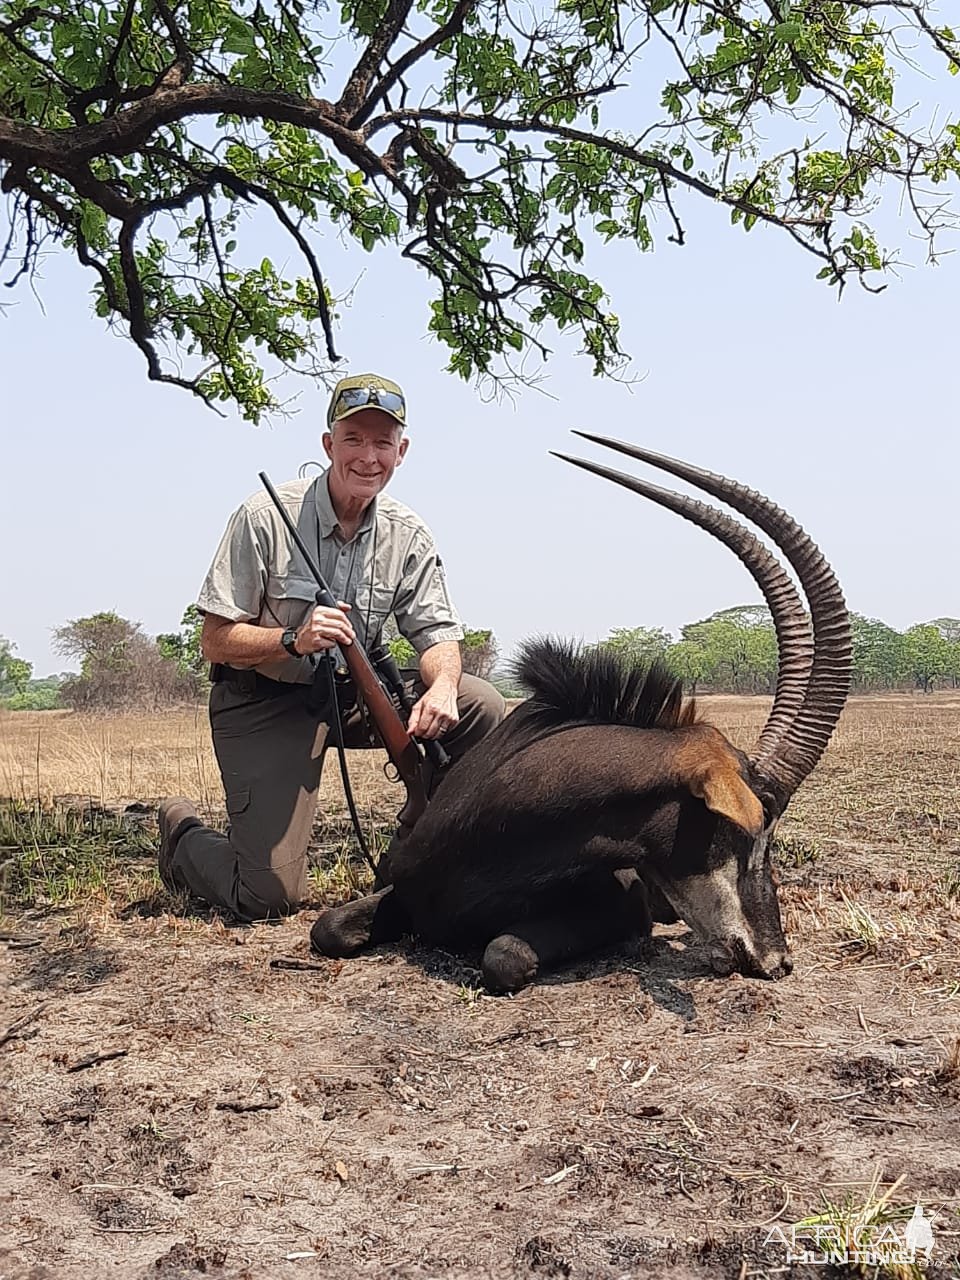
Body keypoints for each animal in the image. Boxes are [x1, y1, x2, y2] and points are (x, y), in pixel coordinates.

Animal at [312, 437, 855, 988]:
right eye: (753, 829)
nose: (777, 961)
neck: (491, 828)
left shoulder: (622, 908)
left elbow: (504, 953)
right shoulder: (403, 890)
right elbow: (326, 927)